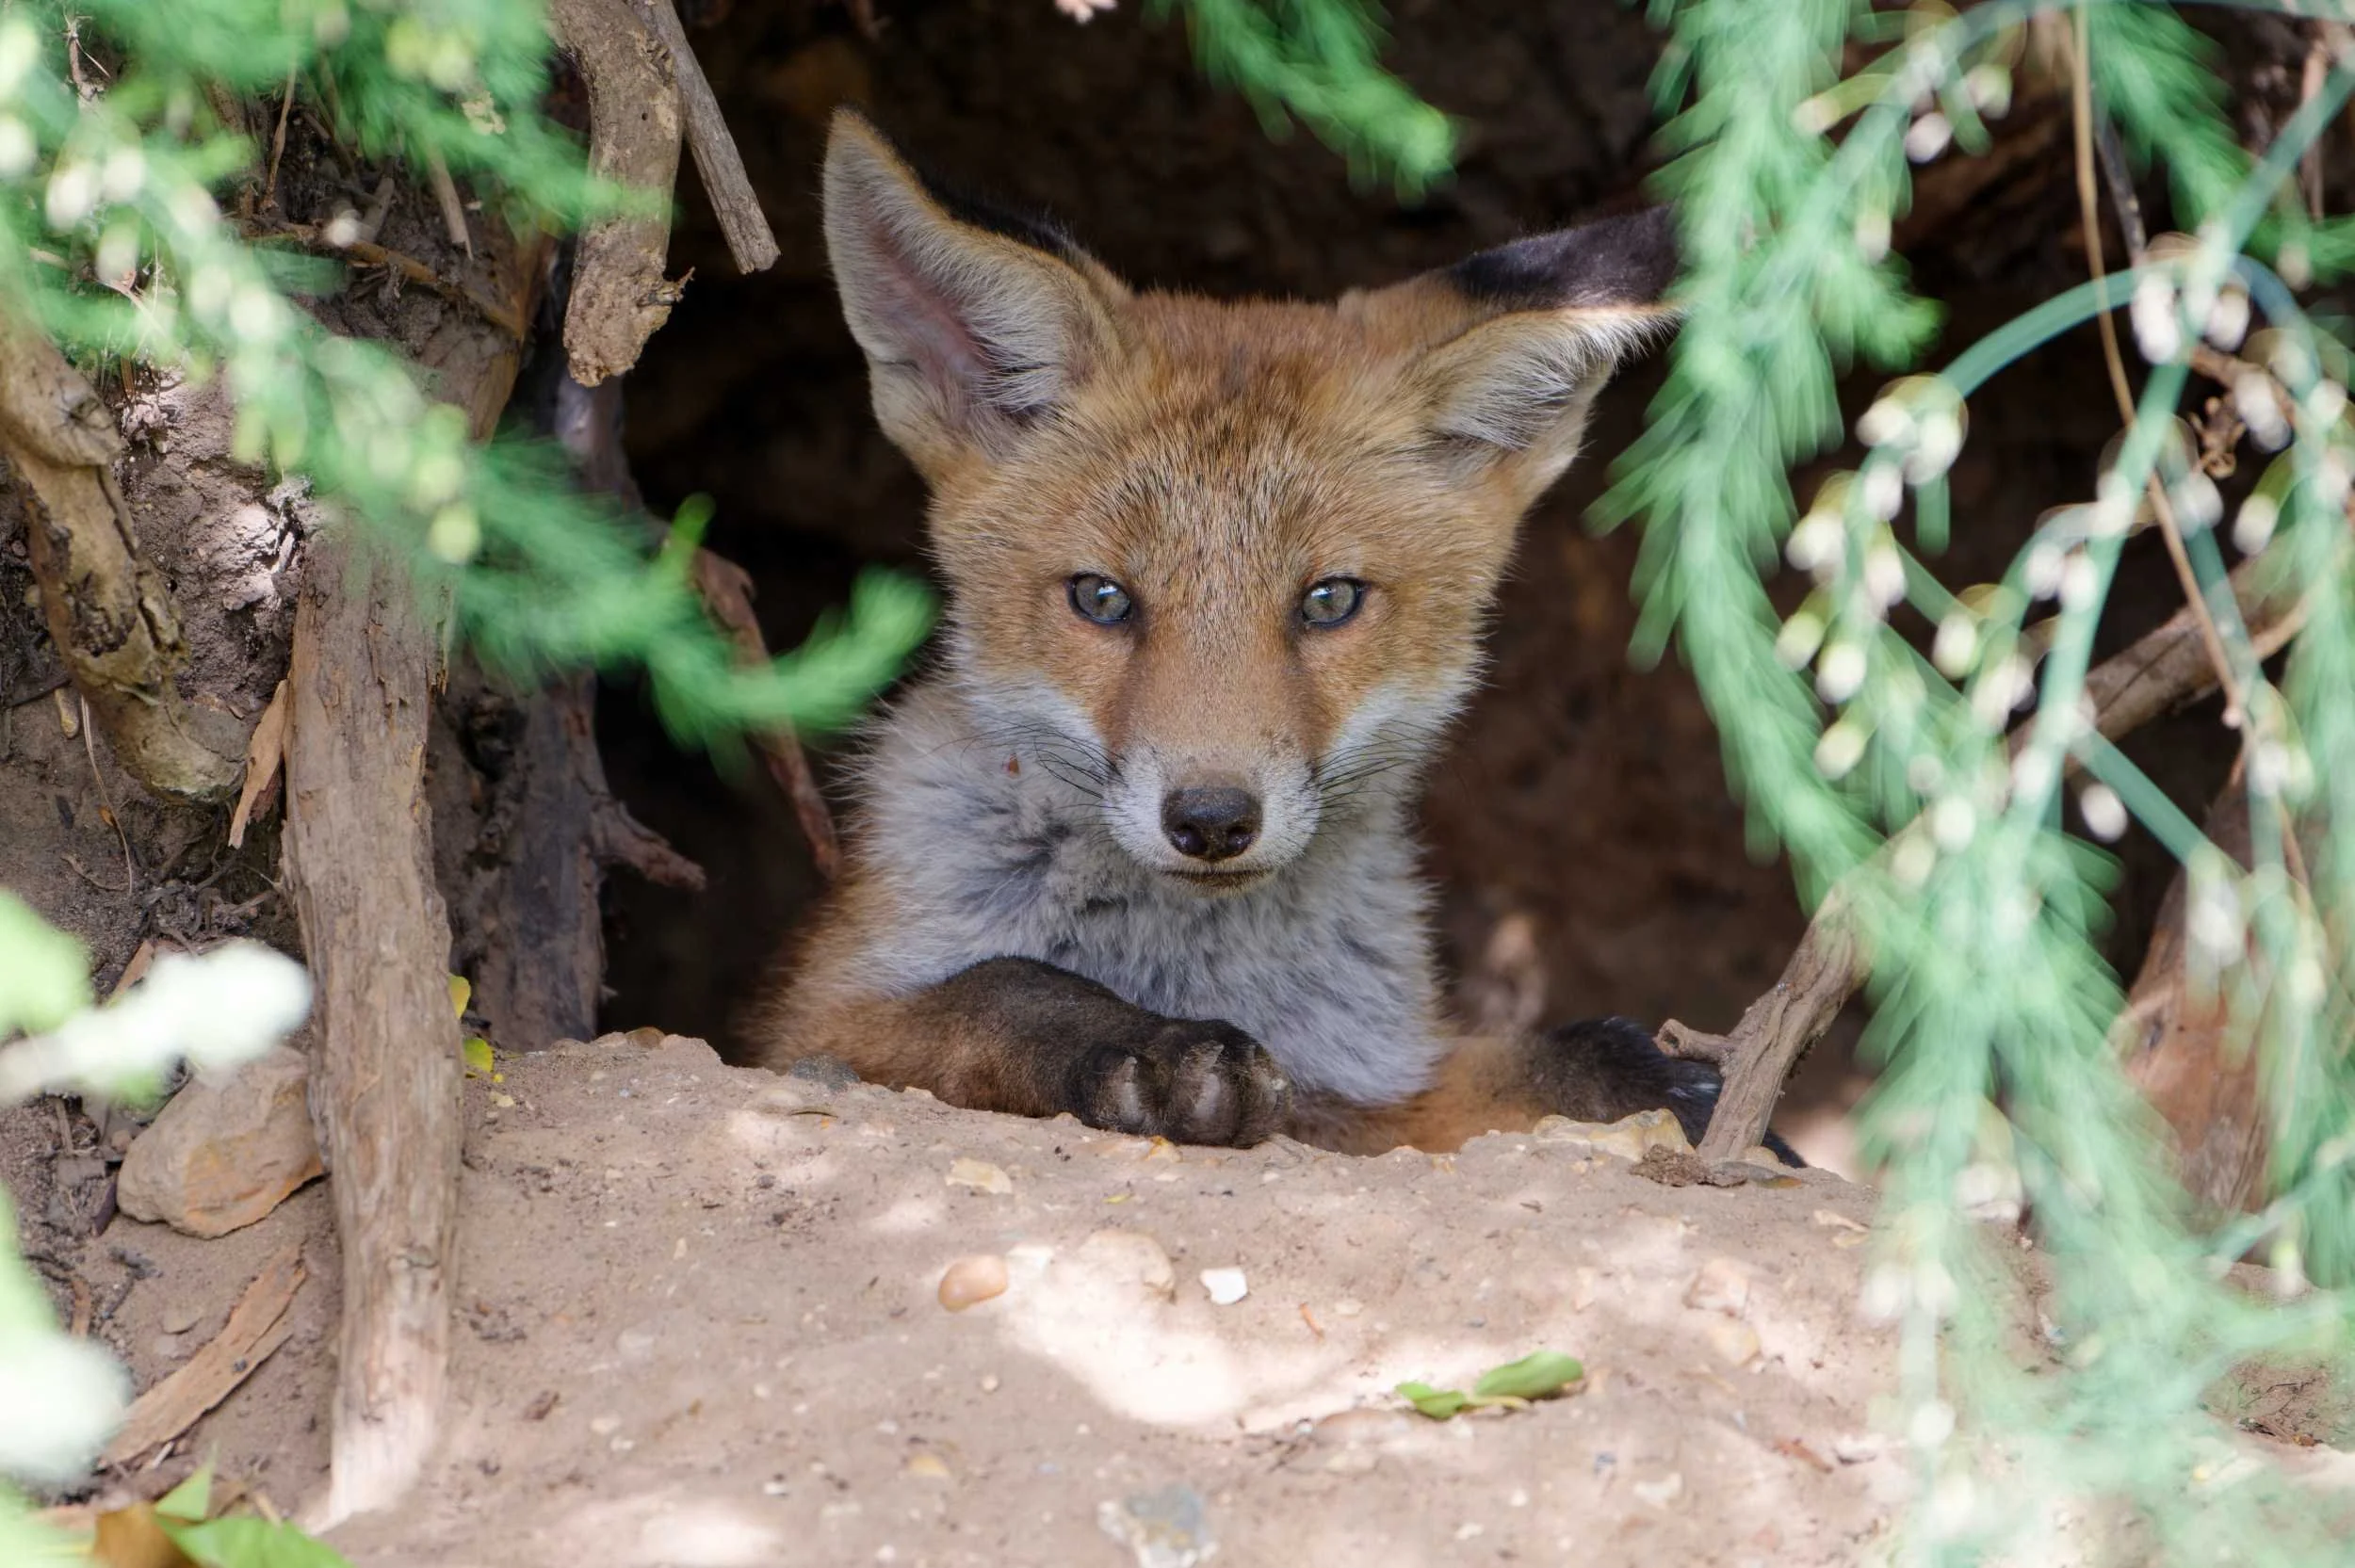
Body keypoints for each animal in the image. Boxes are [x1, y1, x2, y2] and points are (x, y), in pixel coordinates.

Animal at [752, 108, 1787, 1160]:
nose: (1211, 820)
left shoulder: (1378, 1093)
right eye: (1102, 598)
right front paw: (1153, 1051)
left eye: (1328, 601)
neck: (1193, 963)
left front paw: (1703, 1101)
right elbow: (1002, 985)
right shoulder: (809, 1029)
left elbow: (1574, 1055)